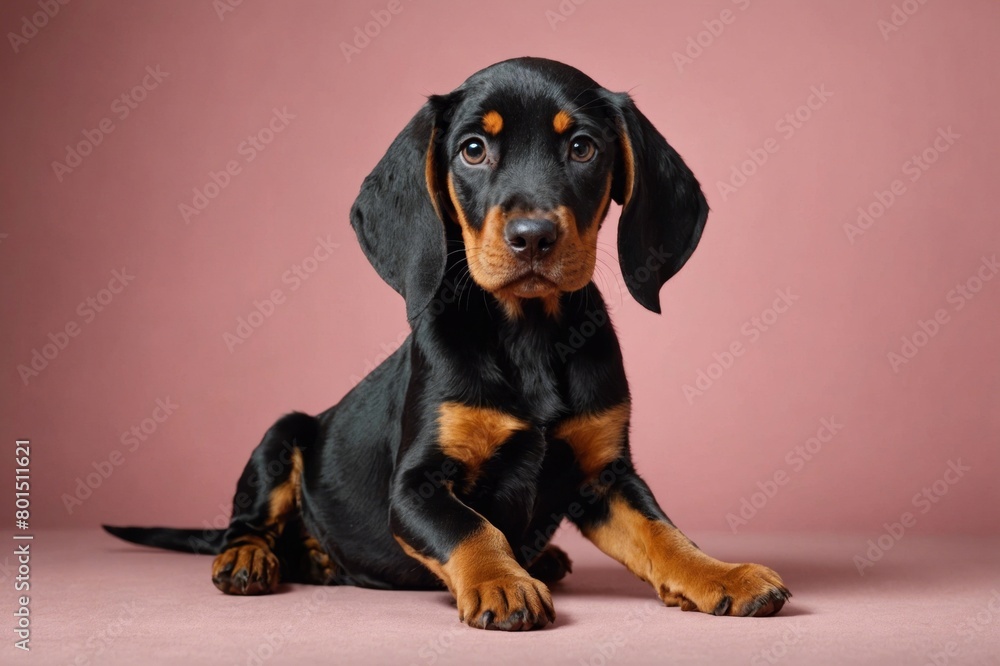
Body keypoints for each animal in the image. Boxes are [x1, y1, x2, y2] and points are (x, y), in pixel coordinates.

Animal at [103, 55, 788, 628]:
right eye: (473, 150)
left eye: (583, 147)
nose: (533, 236)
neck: (528, 332)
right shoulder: (416, 486)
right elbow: (472, 529)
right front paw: (503, 584)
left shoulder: (606, 475)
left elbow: (662, 533)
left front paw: (722, 574)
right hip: (283, 432)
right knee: (246, 523)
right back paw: (253, 559)